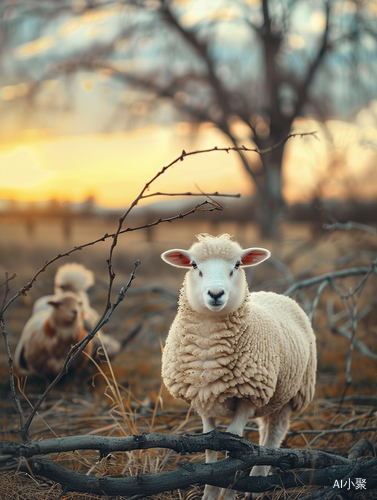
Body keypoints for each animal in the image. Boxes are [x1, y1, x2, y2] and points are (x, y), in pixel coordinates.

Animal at [160, 234, 316, 500]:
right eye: (194, 265)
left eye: (237, 266)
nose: (215, 293)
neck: (209, 347)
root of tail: (274, 293)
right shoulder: (201, 398)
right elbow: (211, 449)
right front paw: (211, 493)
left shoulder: (248, 397)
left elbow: (235, 447)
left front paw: (229, 490)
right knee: (264, 432)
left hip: (290, 393)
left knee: (274, 433)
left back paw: (257, 480)